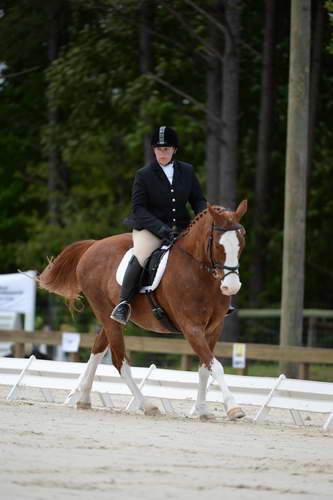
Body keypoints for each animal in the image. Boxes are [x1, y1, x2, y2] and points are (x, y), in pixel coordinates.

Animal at [38, 201, 246, 420]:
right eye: (218, 245)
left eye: (241, 242)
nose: (231, 287)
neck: (200, 274)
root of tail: (94, 245)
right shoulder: (191, 328)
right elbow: (216, 366)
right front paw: (234, 408)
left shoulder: (214, 328)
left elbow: (206, 367)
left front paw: (203, 410)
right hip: (105, 313)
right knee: (119, 360)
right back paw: (147, 405)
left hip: (110, 317)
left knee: (97, 350)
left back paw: (83, 398)